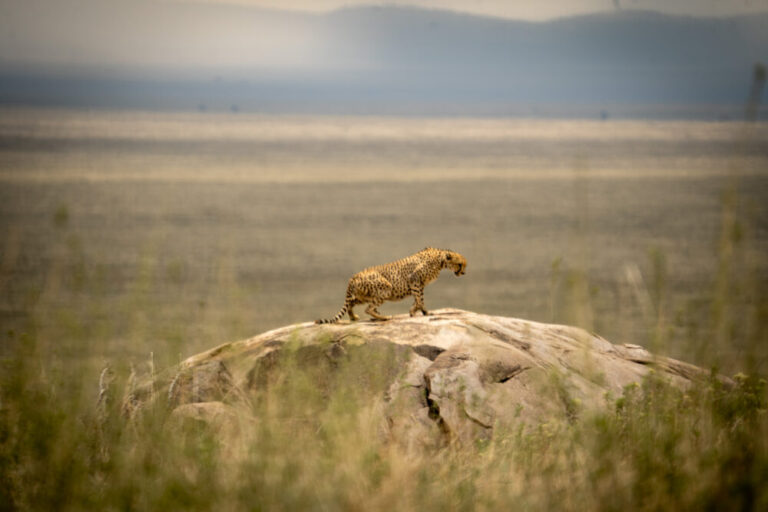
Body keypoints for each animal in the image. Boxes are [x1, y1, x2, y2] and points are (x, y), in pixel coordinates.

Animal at [315, 247, 467, 324]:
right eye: (460, 264)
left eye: (464, 265)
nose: (463, 273)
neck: (440, 260)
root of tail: (353, 277)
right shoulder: (415, 280)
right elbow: (419, 299)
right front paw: (422, 311)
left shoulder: (418, 284)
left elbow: (418, 299)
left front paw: (416, 311)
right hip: (385, 289)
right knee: (368, 309)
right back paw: (384, 317)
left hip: (362, 296)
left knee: (352, 304)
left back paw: (354, 317)